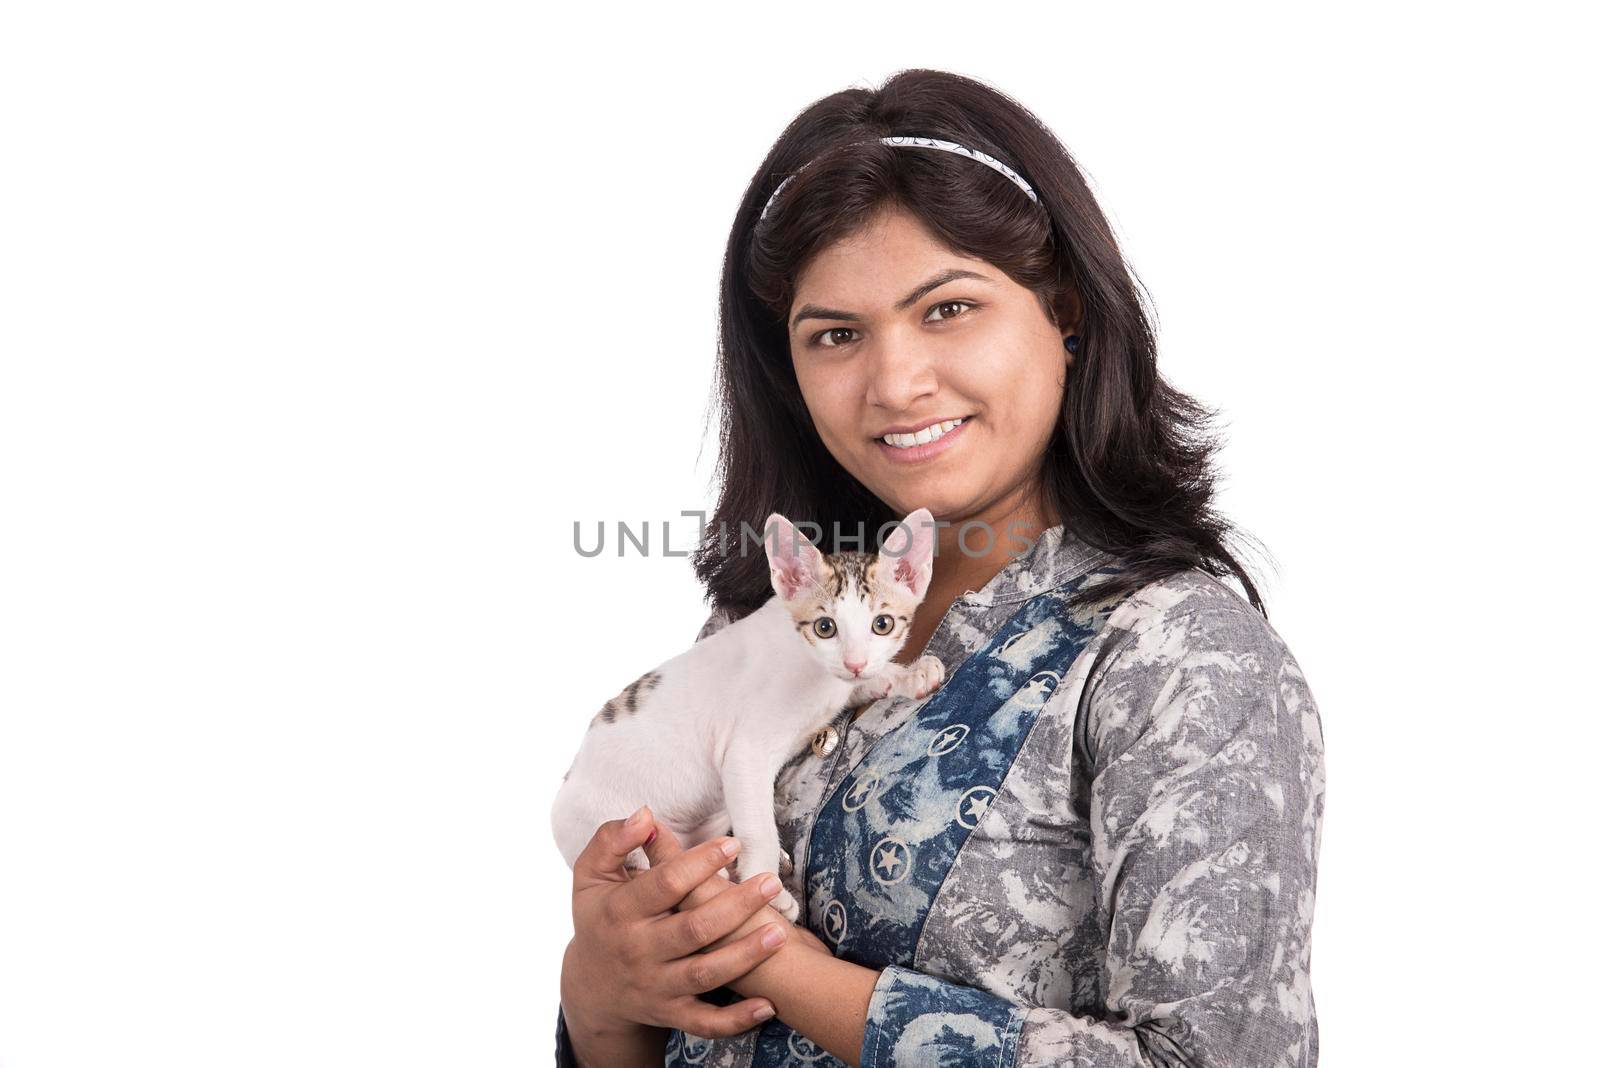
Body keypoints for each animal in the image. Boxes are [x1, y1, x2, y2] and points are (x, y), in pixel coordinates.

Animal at [553, 508, 947, 920]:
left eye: (882, 624)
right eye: (825, 627)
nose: (855, 662)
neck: (815, 670)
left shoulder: (842, 684)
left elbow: (868, 682)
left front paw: (911, 675)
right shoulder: (746, 754)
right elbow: (759, 828)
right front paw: (766, 888)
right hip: (609, 825)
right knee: (641, 860)